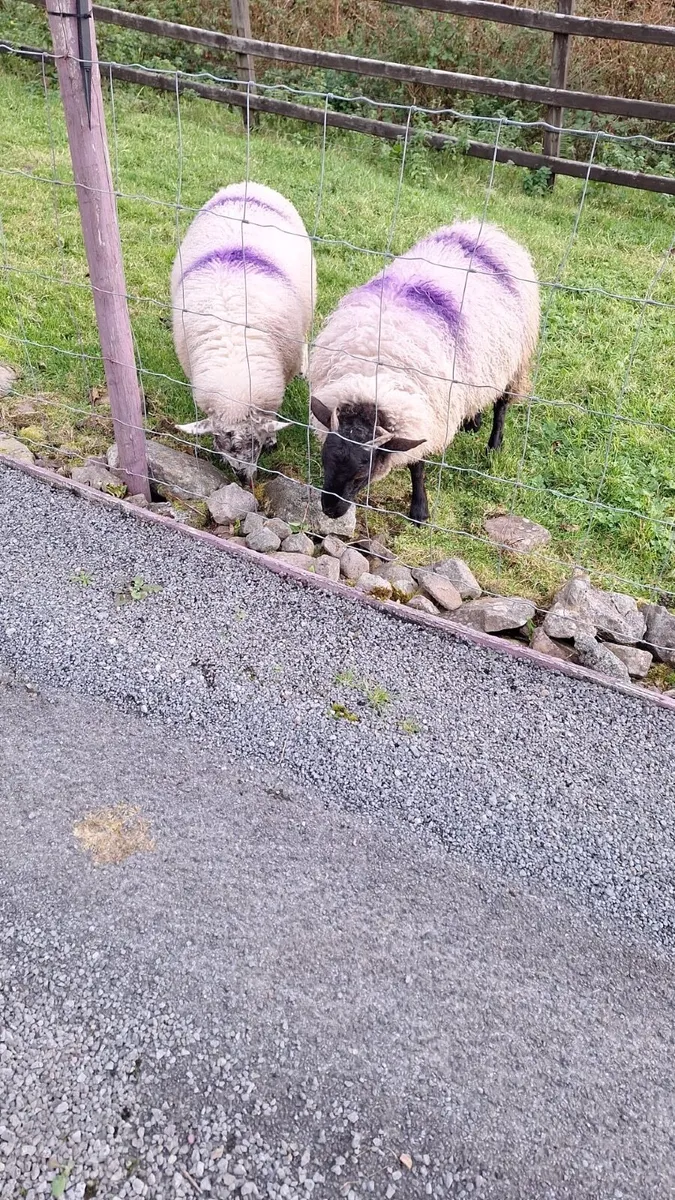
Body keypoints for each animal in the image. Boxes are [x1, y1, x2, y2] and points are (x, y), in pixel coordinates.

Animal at [309, 219, 539, 524]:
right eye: (325, 461)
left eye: (362, 474)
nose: (330, 511)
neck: (374, 376)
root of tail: (483, 228)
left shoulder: (428, 414)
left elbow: (417, 466)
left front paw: (419, 510)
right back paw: (472, 421)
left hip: (515, 359)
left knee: (501, 403)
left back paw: (493, 445)